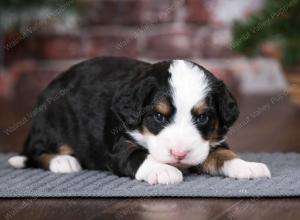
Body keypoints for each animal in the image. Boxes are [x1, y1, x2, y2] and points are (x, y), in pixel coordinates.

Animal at [8, 56, 272, 184]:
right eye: (158, 116)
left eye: (203, 117)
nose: (179, 155)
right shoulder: (119, 144)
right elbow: (138, 155)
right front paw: (162, 170)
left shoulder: (209, 143)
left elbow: (224, 153)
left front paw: (246, 166)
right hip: (51, 123)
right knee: (36, 152)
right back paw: (63, 161)